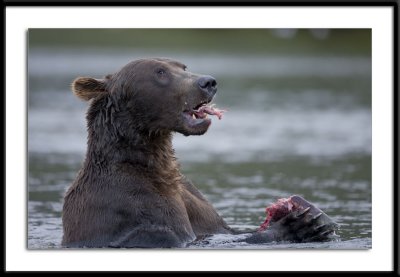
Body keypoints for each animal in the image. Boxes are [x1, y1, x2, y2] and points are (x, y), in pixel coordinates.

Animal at [62, 57, 338, 247]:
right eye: (160, 72)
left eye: (183, 66)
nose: (208, 82)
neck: (156, 167)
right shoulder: (133, 204)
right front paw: (298, 225)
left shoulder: (191, 200)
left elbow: (223, 229)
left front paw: (314, 215)